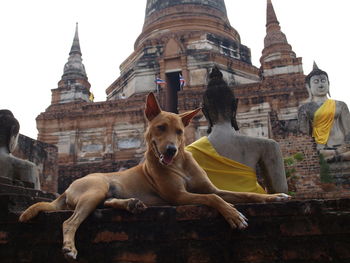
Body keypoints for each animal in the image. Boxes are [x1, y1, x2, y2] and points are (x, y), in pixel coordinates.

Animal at [20, 93, 292, 260]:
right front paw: (234, 216)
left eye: (180, 131)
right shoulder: (178, 196)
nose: (170, 149)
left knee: (107, 202)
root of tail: (67, 188)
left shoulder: (211, 187)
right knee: (69, 221)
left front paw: (276, 197)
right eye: (160, 128)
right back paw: (69, 247)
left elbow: (241, 194)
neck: (180, 163)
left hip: (100, 193)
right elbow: (214, 200)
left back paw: (132, 204)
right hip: (95, 187)